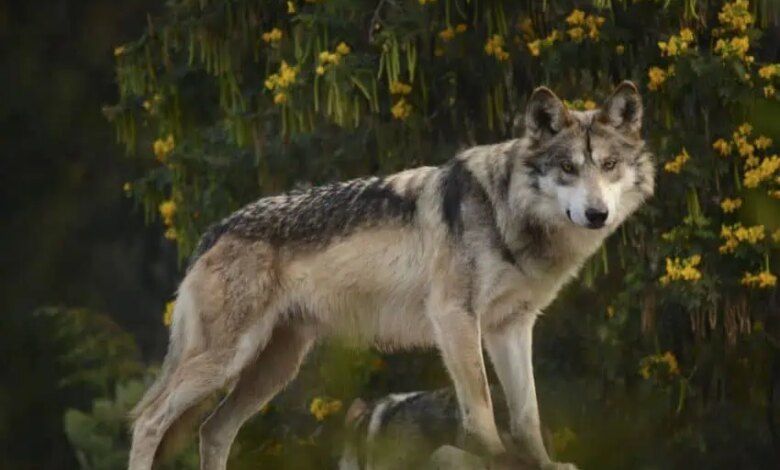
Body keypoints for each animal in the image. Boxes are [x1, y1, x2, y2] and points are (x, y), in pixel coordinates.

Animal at [128, 81, 654, 470]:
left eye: (608, 166)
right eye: (567, 167)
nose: (597, 214)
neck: (506, 212)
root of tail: (214, 230)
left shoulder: (511, 326)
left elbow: (527, 414)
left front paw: (540, 462)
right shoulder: (454, 318)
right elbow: (482, 408)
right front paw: (496, 457)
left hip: (273, 367)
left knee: (213, 430)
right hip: (227, 359)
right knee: (149, 420)